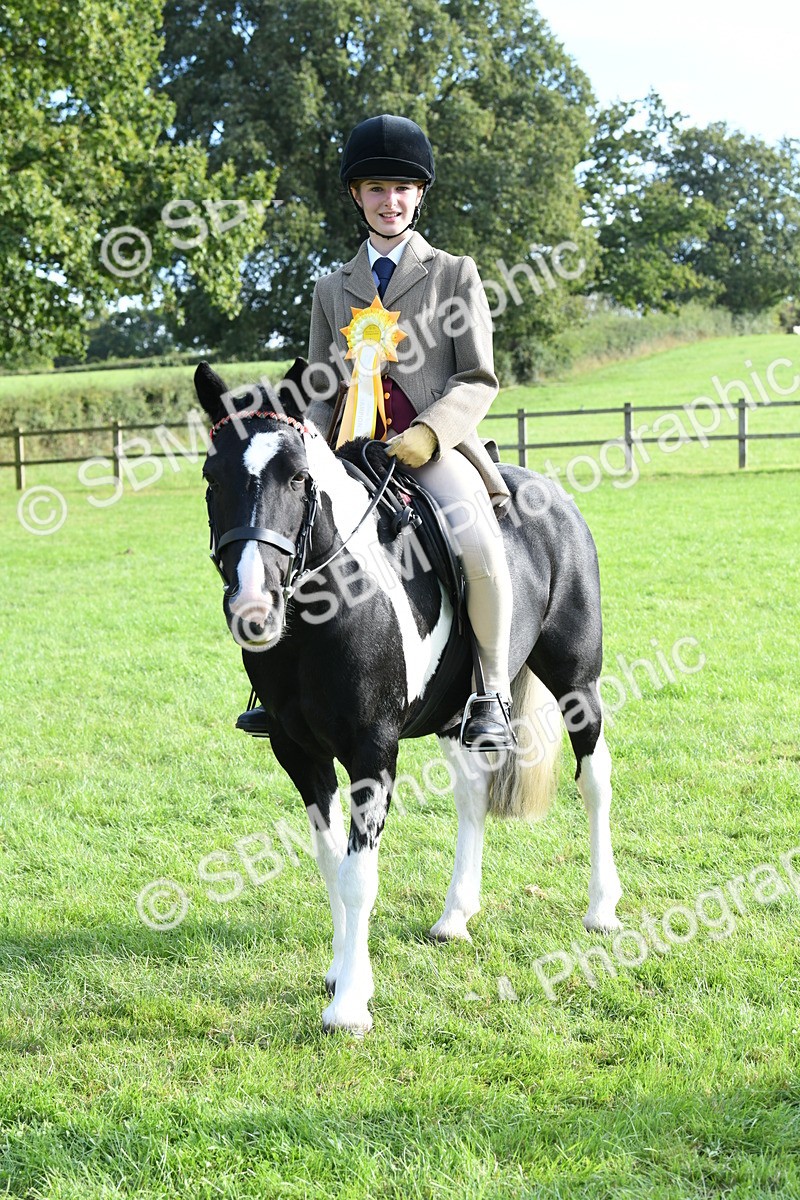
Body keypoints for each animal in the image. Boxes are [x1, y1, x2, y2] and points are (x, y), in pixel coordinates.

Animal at [194, 359, 622, 1034]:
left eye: (297, 477)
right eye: (213, 477)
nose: (254, 609)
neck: (331, 607)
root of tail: (547, 491)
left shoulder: (374, 752)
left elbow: (358, 875)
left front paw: (349, 1005)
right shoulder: (297, 752)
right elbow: (330, 863)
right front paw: (342, 970)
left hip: (578, 684)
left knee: (595, 778)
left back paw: (602, 909)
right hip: (456, 715)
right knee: (473, 794)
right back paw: (455, 917)